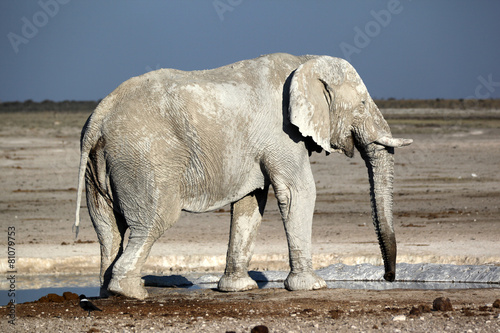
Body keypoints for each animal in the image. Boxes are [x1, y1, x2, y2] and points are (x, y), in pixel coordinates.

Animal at [73, 52, 410, 298]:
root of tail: (98, 117)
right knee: (154, 220)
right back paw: (132, 293)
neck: (305, 60)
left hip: (102, 163)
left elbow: (251, 201)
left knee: (106, 227)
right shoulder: (282, 133)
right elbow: (298, 191)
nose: (388, 277)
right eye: (363, 104)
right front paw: (312, 286)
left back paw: (107, 293)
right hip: (145, 157)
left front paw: (238, 289)